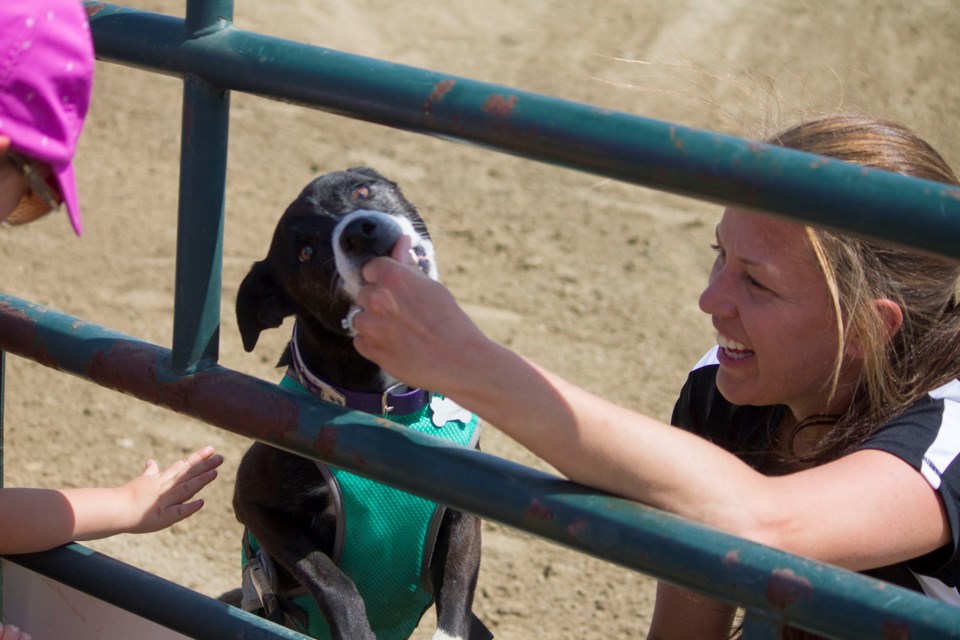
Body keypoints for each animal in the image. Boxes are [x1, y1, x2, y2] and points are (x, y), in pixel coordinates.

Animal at [230, 168, 492, 640]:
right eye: (305, 252)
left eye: (362, 191)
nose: (361, 231)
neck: (385, 408)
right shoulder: (254, 503)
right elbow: (334, 579)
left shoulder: (463, 518)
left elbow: (456, 593)